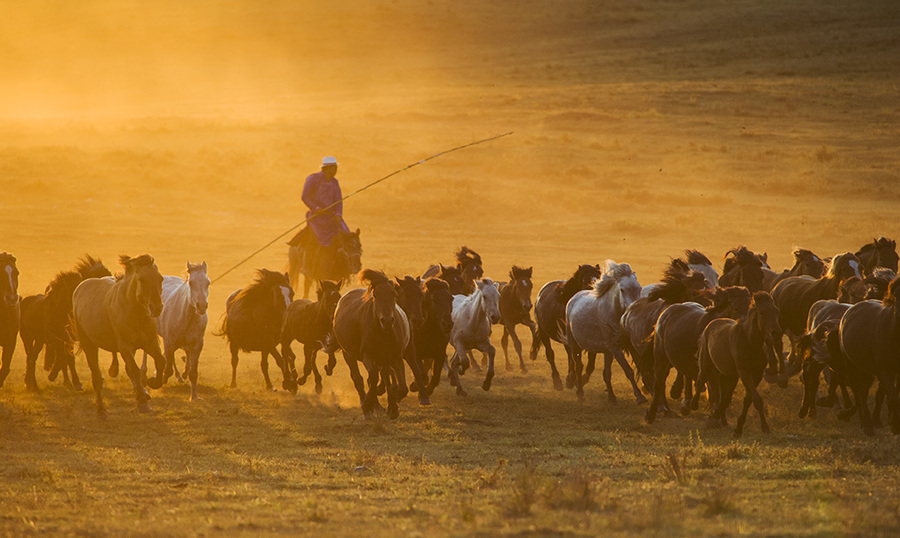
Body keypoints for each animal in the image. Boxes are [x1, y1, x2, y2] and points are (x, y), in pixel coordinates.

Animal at [73, 254, 166, 414]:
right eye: (141, 279)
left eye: (160, 278)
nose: (156, 308)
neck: (134, 311)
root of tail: (81, 287)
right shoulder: (125, 346)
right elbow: (134, 370)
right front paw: (143, 403)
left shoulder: (150, 342)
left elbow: (160, 361)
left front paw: (153, 383)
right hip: (89, 345)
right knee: (96, 377)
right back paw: (101, 411)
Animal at [141, 260, 209, 398]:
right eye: (191, 282)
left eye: (208, 283)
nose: (201, 306)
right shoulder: (169, 342)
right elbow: (167, 370)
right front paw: (156, 381)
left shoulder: (197, 345)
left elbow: (193, 373)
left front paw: (194, 396)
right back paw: (144, 373)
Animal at [564, 260, 648, 402]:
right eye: (622, 290)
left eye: (639, 288)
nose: (635, 309)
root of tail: (573, 298)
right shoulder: (615, 348)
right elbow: (629, 370)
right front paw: (640, 397)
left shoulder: (626, 347)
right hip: (575, 345)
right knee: (578, 366)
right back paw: (580, 393)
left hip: (606, 352)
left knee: (605, 373)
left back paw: (611, 396)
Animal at [696, 292, 780, 438]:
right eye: (762, 313)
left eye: (776, 311)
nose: (776, 332)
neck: (750, 342)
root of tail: (711, 324)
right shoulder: (744, 372)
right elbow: (757, 399)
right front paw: (765, 427)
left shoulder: (756, 375)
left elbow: (748, 399)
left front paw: (738, 428)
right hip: (706, 364)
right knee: (701, 378)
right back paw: (689, 406)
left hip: (728, 375)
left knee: (723, 397)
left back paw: (716, 416)